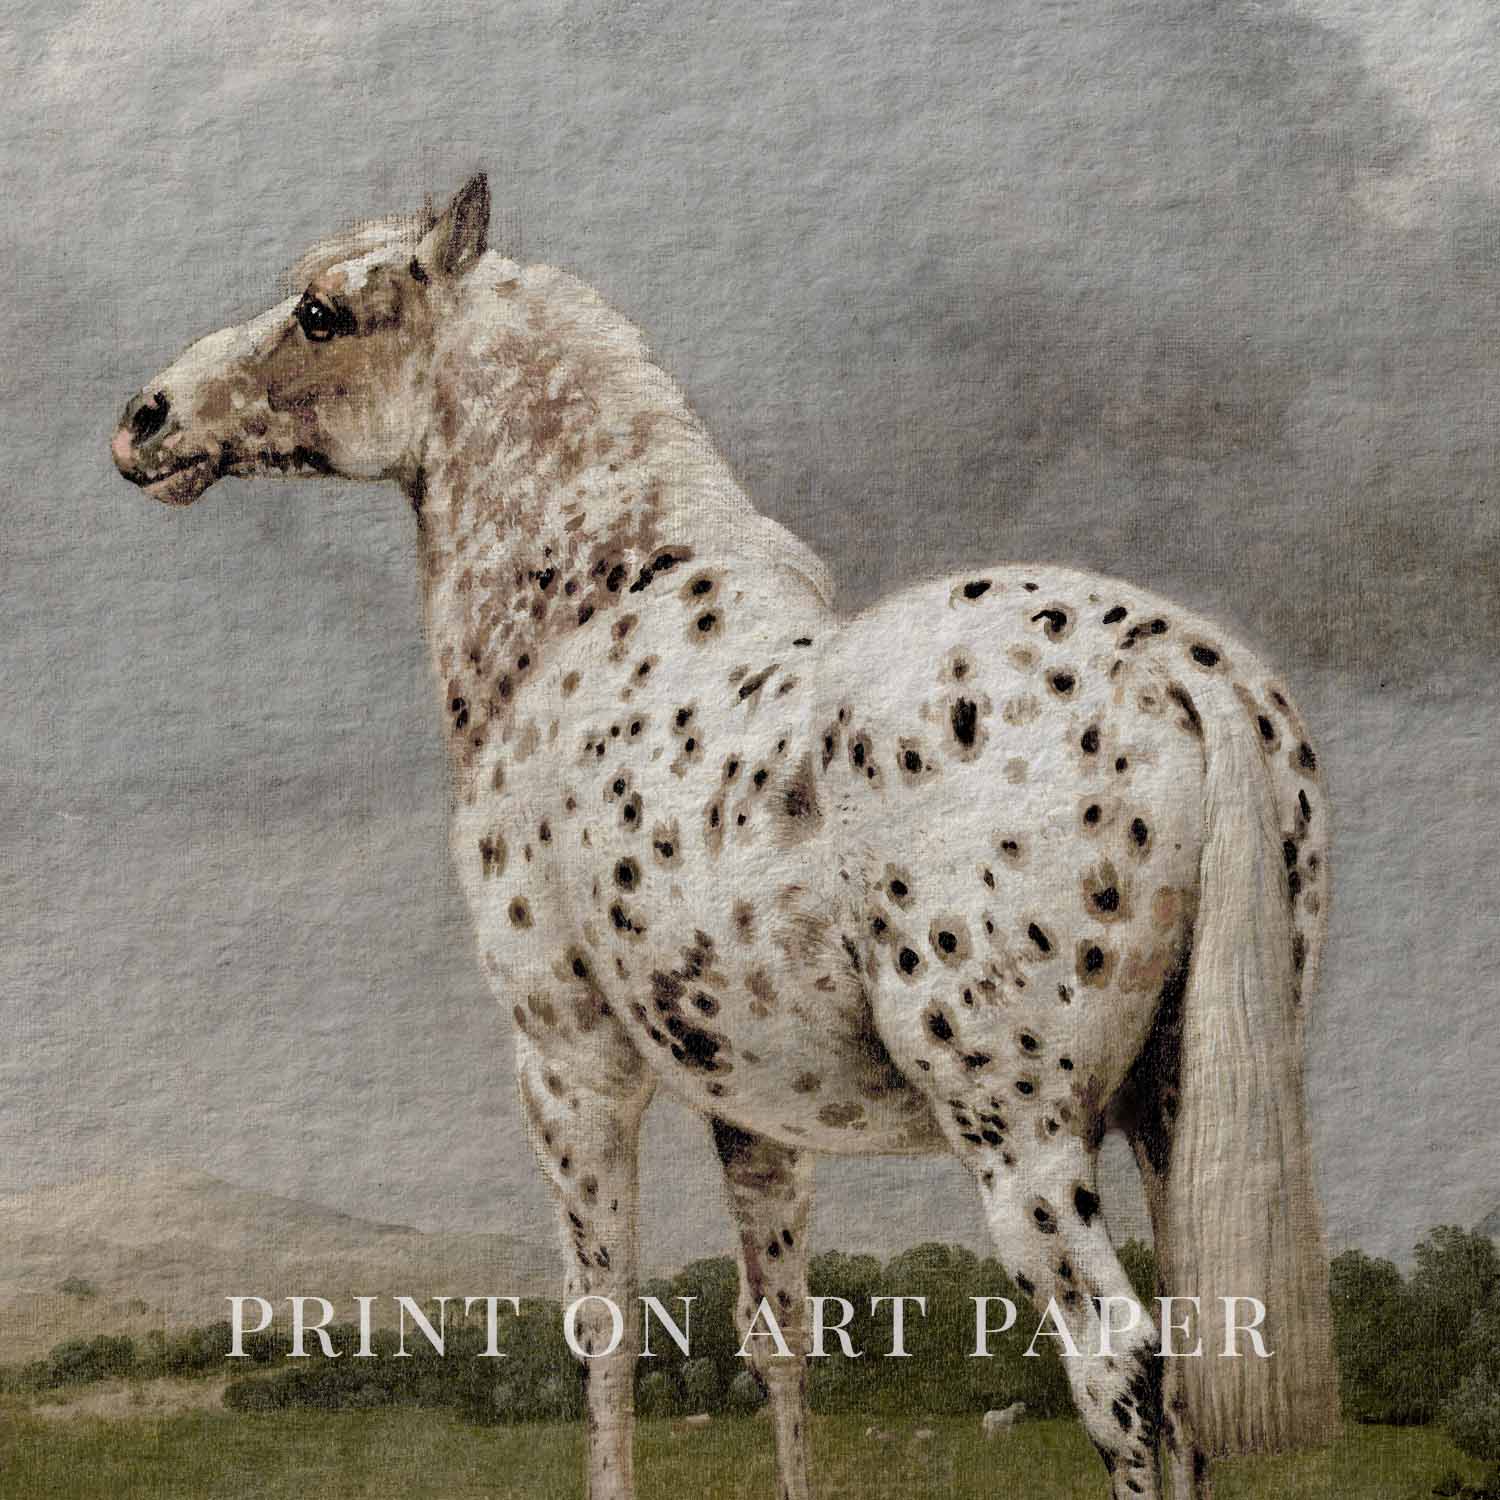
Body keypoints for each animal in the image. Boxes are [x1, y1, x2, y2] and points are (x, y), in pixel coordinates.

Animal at [112, 174, 1339, 1499]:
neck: (585, 616)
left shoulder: (570, 1066)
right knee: (1198, 1373)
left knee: (1123, 1375)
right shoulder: (753, 1109)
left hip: (1021, 1137)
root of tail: (1180, 670)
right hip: (1175, 1115)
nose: (144, 421)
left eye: (322, 315)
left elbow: (605, 1331)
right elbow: (780, 1338)